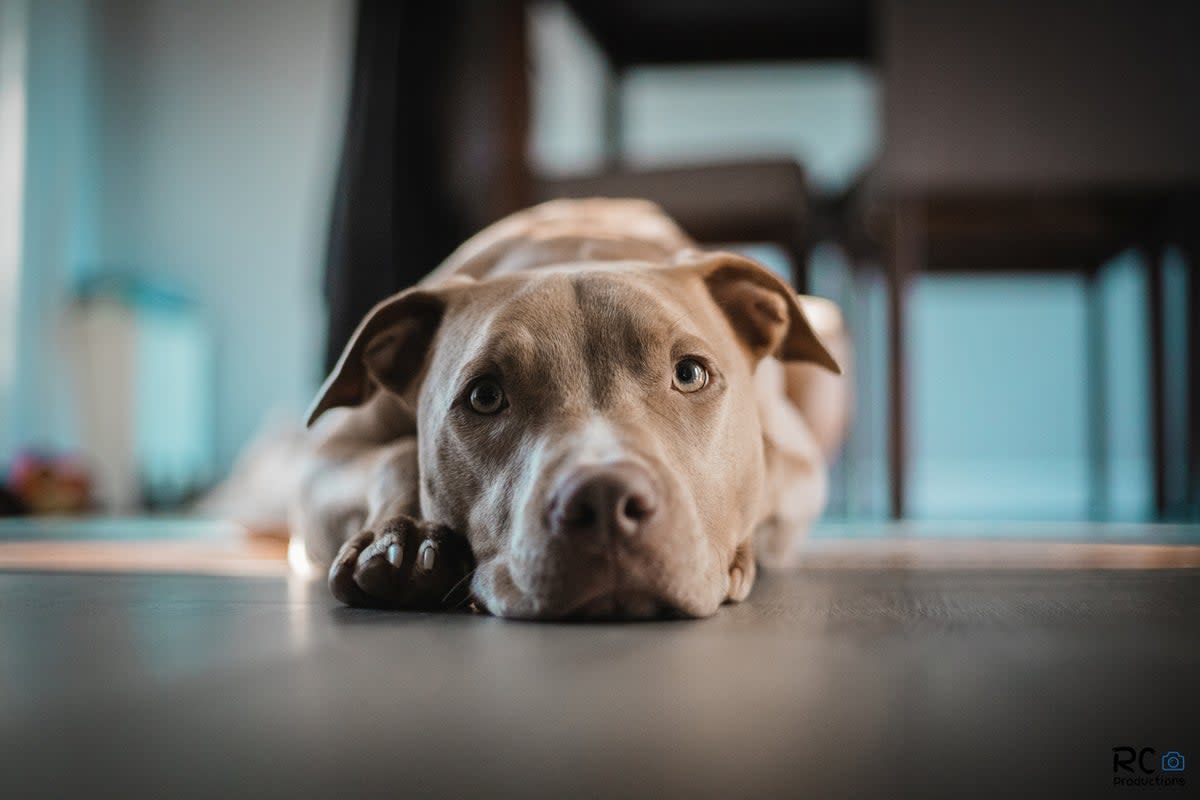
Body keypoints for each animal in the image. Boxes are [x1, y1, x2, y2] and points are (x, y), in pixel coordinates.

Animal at [291, 199, 849, 618]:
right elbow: (394, 456)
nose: (605, 500)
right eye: (484, 396)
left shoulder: (800, 469)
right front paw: (401, 540)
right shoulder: (322, 462)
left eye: (690, 374)